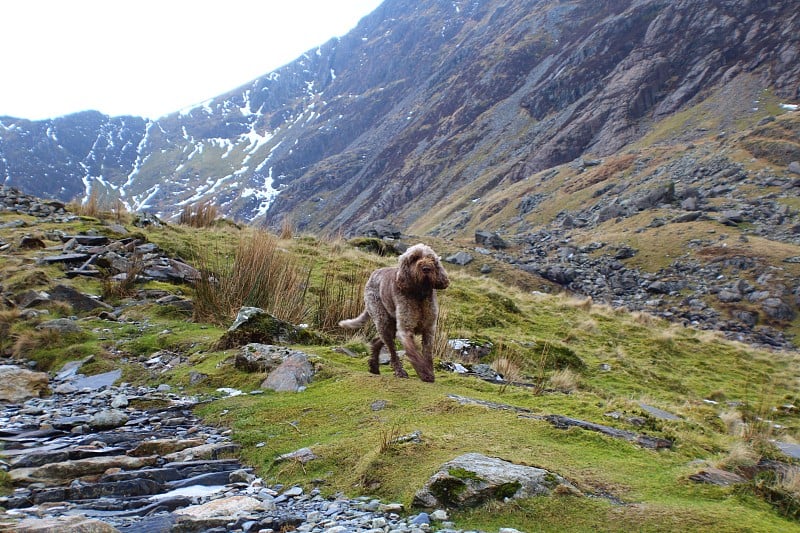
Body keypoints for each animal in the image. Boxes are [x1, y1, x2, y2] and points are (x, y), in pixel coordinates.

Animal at [340, 243, 450, 380]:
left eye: (431, 258)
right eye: (414, 258)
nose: (426, 268)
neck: (419, 294)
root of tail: (373, 275)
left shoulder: (429, 329)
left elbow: (427, 354)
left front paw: (429, 371)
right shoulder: (405, 329)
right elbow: (414, 353)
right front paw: (425, 373)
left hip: (390, 325)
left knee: (378, 341)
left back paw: (374, 367)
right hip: (383, 320)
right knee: (391, 349)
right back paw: (399, 371)